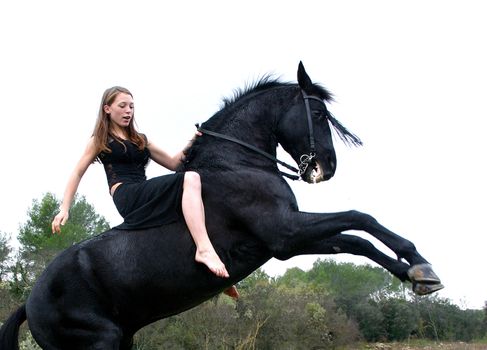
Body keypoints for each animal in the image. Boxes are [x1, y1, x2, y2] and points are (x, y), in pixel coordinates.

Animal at [0, 63, 442, 350]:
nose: (326, 168)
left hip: (122, 338)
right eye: (317, 112)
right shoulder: (286, 233)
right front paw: (419, 264)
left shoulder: (289, 239)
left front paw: (416, 275)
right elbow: (359, 219)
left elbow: (356, 240)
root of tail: (29, 302)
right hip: (102, 342)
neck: (237, 161)